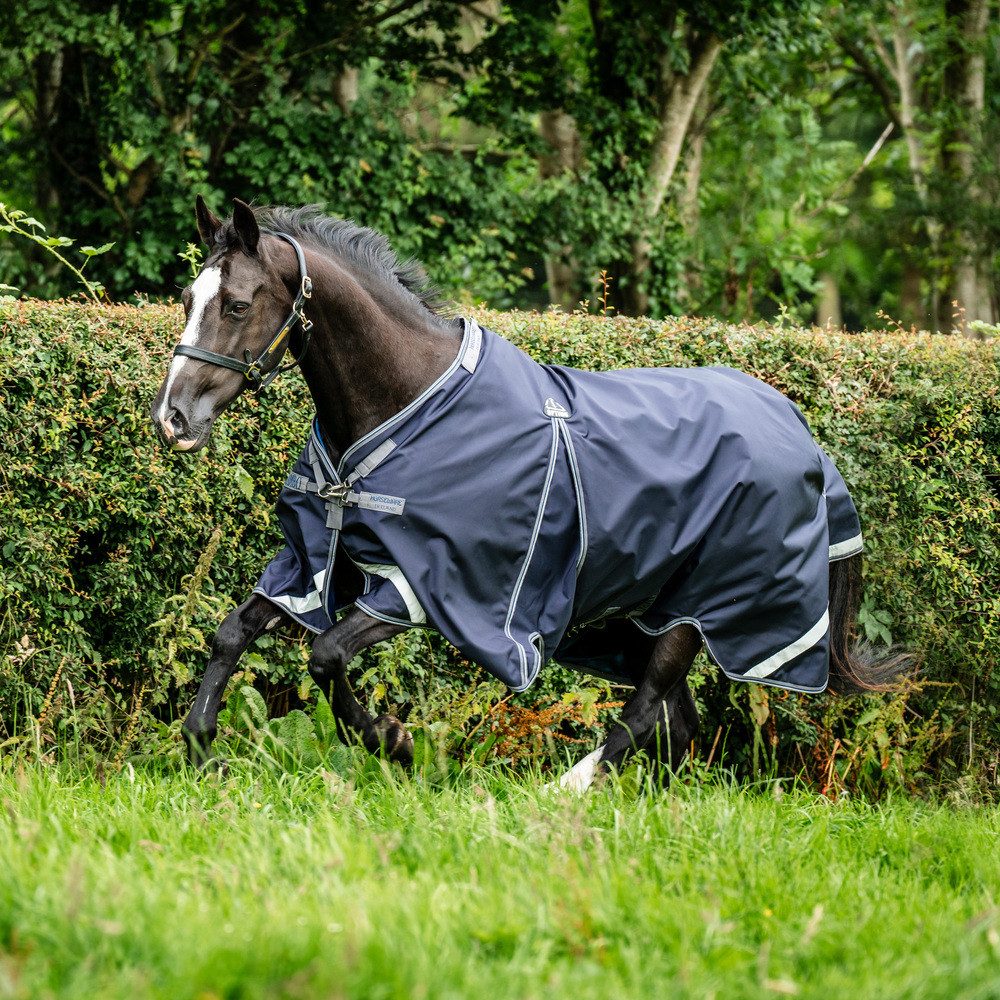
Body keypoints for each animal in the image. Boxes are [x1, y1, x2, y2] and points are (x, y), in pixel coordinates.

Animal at [152, 197, 905, 790]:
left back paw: (567, 789)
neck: (405, 399)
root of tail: (801, 434)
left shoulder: (425, 585)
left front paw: (395, 741)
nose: (173, 419)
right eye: (187, 301)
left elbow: (327, 655)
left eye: (238, 304)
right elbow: (232, 632)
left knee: (646, 711)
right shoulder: (316, 563)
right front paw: (201, 746)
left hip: (701, 608)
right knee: (676, 722)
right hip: (646, 614)